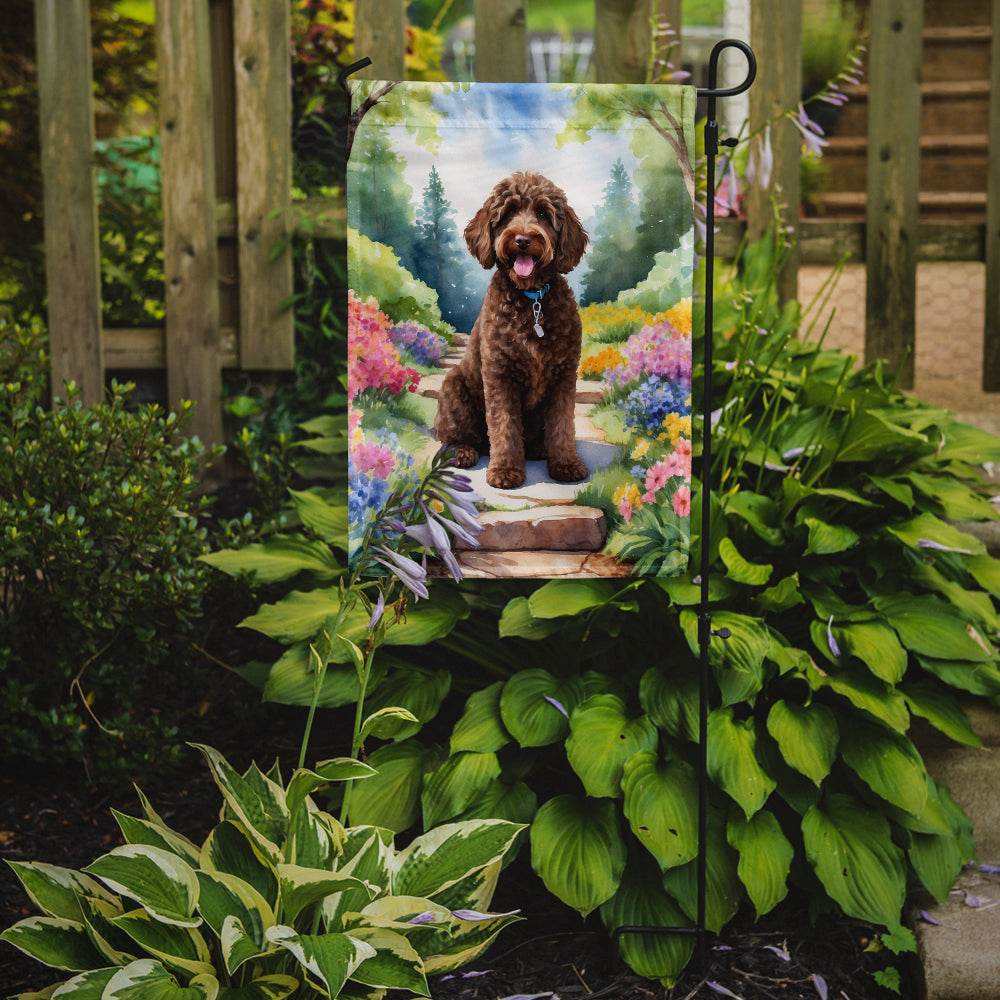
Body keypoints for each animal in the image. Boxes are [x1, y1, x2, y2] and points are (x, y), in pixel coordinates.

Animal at [434, 173, 588, 492]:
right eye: (507, 214)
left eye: (543, 214)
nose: (523, 240)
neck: (531, 299)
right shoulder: (499, 374)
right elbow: (504, 425)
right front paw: (505, 471)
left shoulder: (564, 375)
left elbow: (563, 424)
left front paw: (566, 464)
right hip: (453, 387)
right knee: (455, 436)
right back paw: (462, 451)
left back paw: (539, 448)